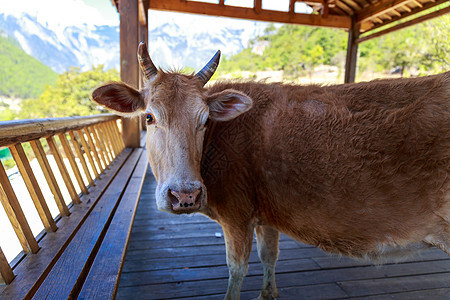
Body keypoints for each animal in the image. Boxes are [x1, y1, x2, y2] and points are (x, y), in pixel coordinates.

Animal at [92, 42, 450, 300]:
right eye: (149, 117)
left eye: (205, 120)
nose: (185, 195)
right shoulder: (266, 212)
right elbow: (269, 256)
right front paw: (268, 293)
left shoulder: (235, 214)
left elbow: (237, 269)